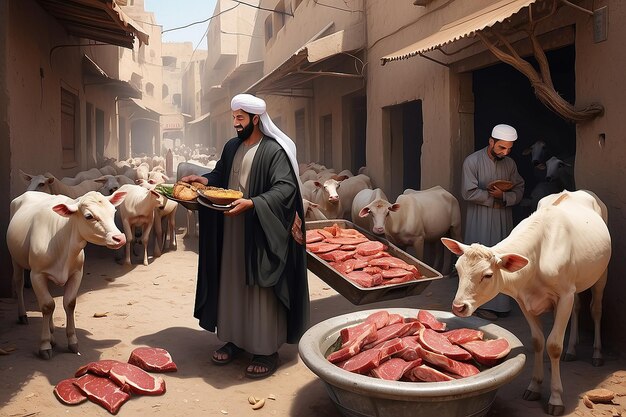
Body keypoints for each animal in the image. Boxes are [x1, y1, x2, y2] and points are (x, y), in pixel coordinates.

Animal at [6, 191, 127, 358]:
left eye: (113, 211)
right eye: (89, 216)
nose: (119, 238)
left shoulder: (77, 273)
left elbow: (68, 303)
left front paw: (72, 341)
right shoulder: (37, 275)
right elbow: (47, 305)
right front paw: (44, 344)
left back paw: (51, 332)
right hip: (15, 258)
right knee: (19, 283)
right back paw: (23, 315)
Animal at [438, 190, 608, 414]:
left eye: (488, 275)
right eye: (457, 269)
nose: (459, 307)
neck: (537, 259)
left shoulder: (565, 295)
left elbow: (554, 345)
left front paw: (555, 398)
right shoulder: (524, 300)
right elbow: (537, 341)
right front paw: (534, 386)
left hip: (601, 274)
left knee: (596, 309)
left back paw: (597, 354)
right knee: (578, 308)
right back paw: (571, 349)